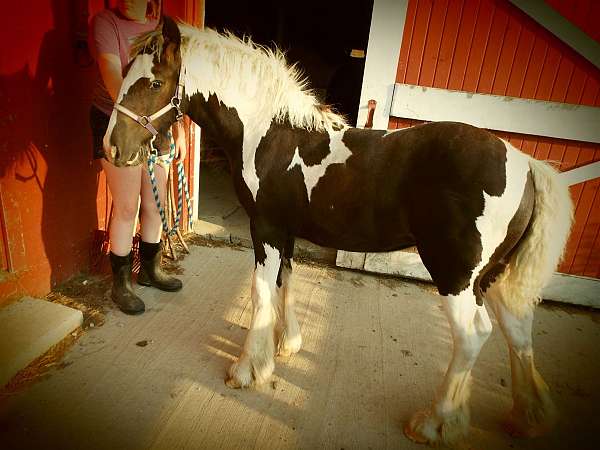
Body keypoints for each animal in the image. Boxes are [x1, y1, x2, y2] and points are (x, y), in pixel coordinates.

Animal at [103, 18, 572, 446]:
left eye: (154, 81)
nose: (113, 148)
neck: (269, 133)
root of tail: (527, 164)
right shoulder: (285, 231)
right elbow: (285, 283)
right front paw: (285, 347)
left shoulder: (265, 228)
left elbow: (260, 292)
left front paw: (246, 370)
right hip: (493, 276)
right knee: (517, 328)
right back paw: (527, 418)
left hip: (455, 275)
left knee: (473, 336)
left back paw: (436, 423)